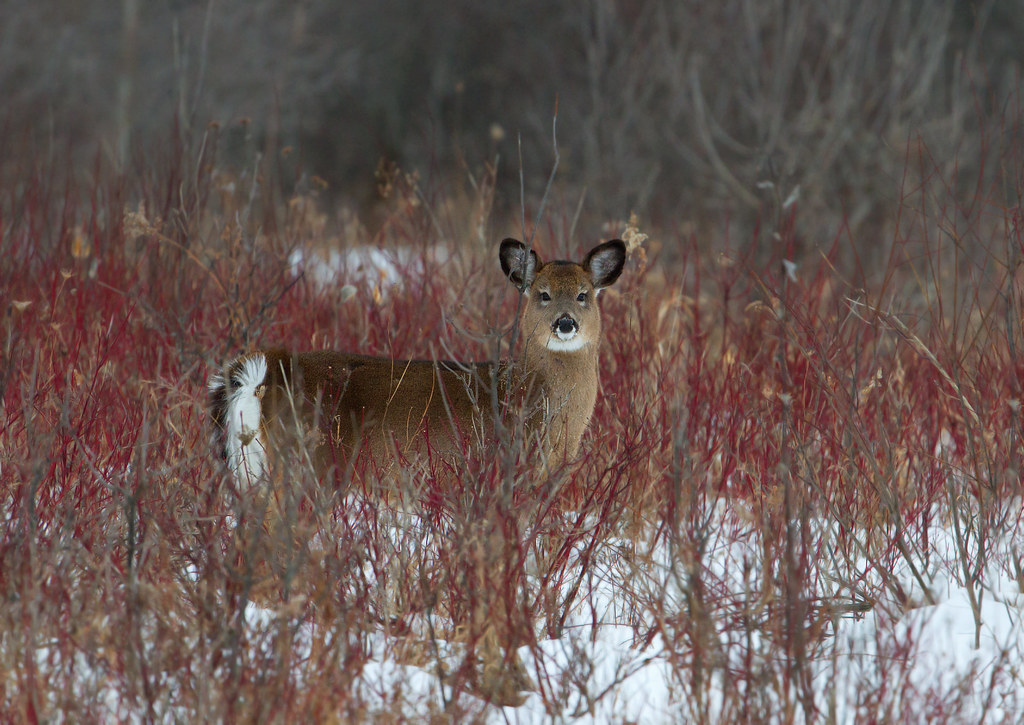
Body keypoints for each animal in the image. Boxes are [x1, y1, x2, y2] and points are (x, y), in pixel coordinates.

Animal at [209, 237, 626, 491]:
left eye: (583, 294)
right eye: (542, 294)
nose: (565, 323)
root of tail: (267, 369)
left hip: (253, 470)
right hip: (309, 463)